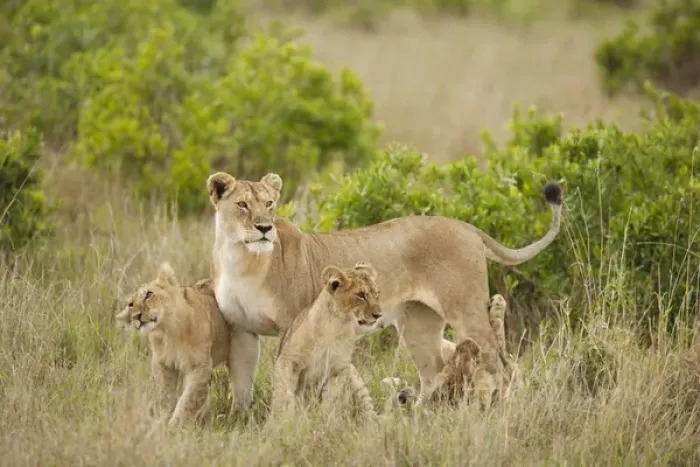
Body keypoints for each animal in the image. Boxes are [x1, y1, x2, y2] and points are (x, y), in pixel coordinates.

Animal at [115, 262, 232, 427]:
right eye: (131, 304)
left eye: (149, 294)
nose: (137, 316)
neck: (169, 331)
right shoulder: (162, 364)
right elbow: (165, 396)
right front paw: (161, 422)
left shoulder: (199, 367)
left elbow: (188, 400)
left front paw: (174, 426)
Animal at [270, 262, 382, 421]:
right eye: (361, 295)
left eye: (377, 294)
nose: (378, 315)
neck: (336, 326)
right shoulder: (288, 360)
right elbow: (284, 393)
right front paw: (282, 420)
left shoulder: (339, 369)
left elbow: (331, 401)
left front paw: (325, 421)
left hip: (355, 377)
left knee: (368, 411)